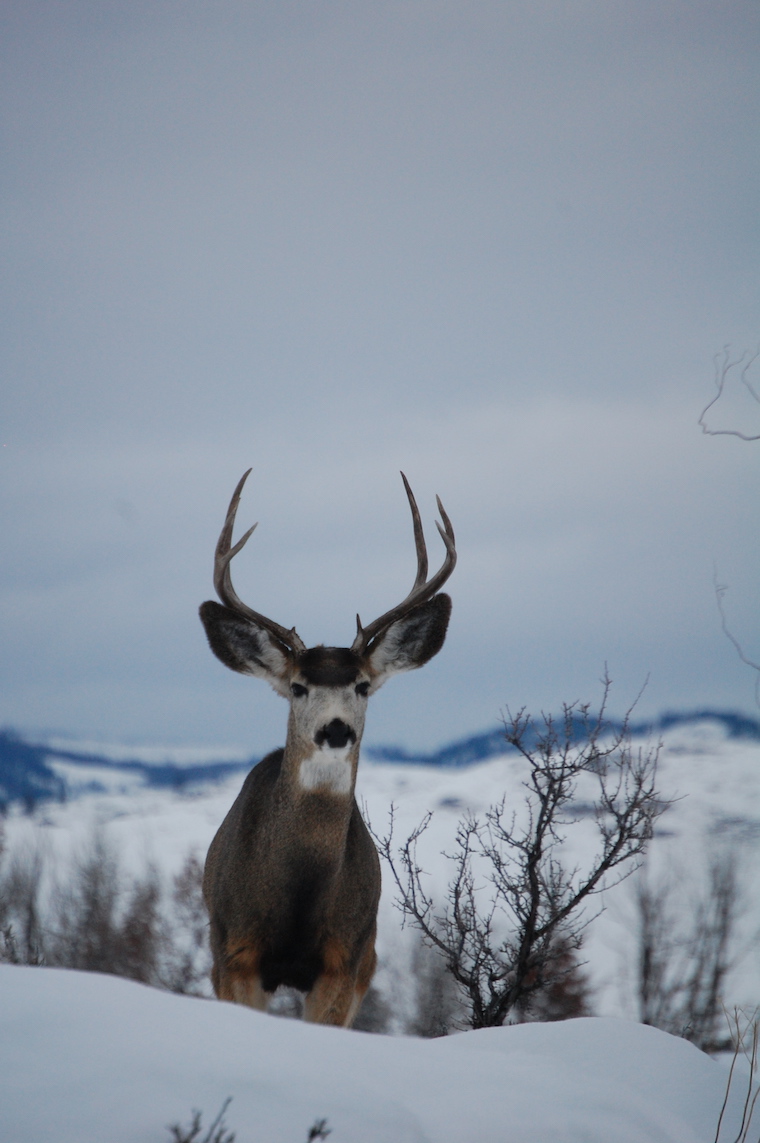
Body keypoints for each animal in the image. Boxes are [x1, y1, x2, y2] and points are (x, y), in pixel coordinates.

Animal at [199, 469, 456, 1027]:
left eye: (361, 685)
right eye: (298, 687)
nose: (335, 729)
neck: (299, 894)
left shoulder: (345, 959)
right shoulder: (235, 951)